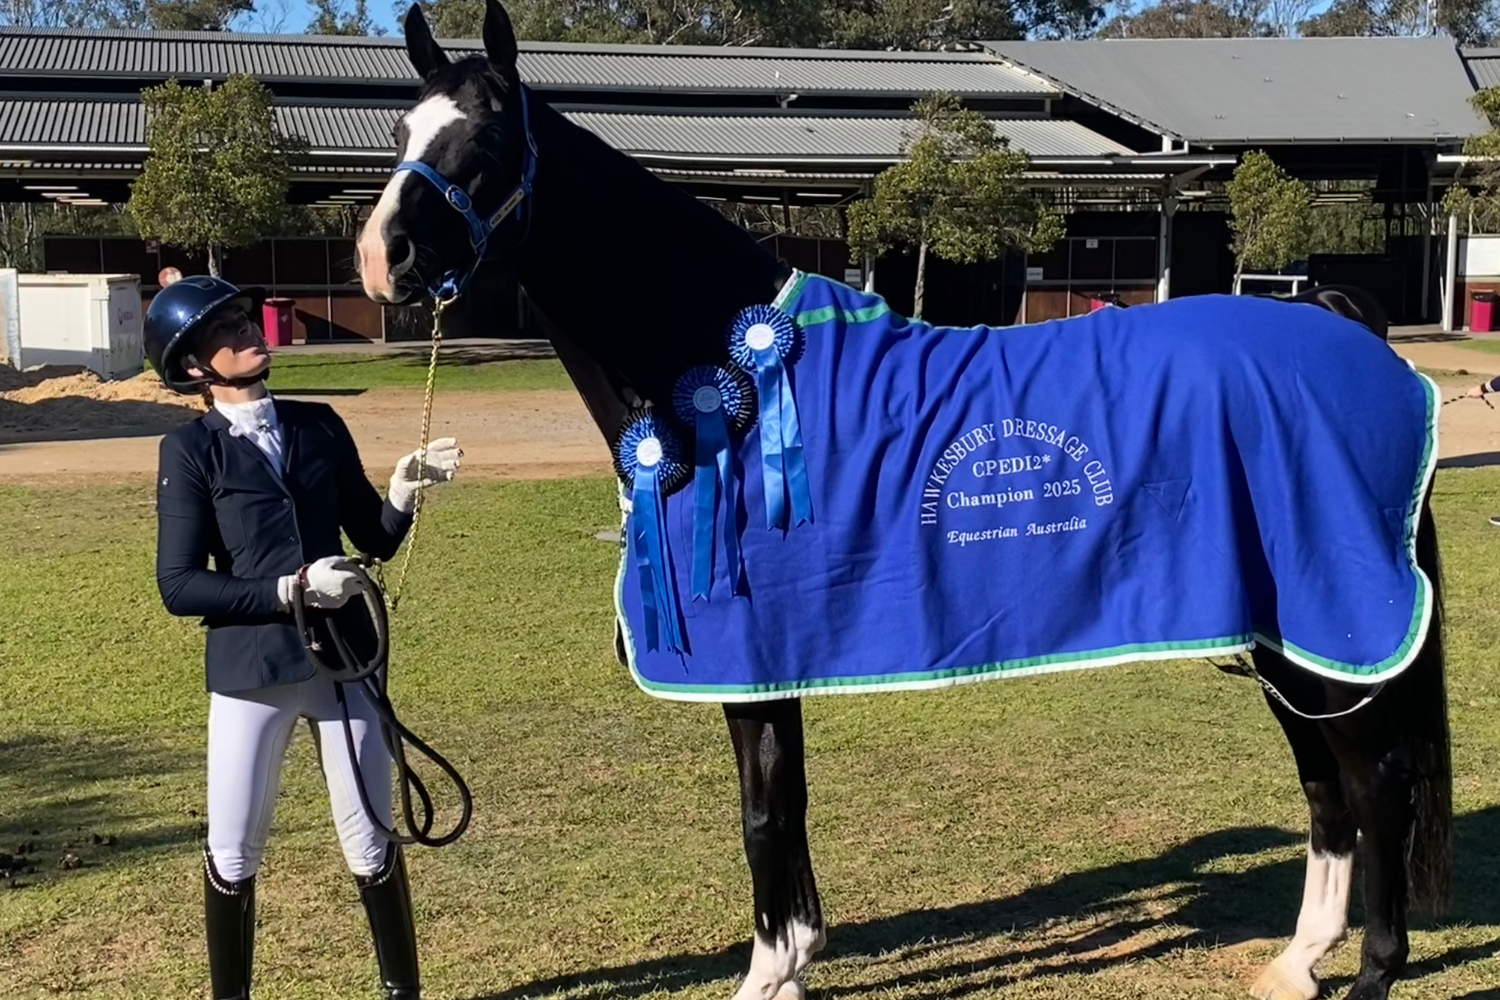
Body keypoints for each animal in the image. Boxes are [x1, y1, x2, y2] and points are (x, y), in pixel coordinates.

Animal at [354, 5, 1453, 999]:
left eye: (486, 140)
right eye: (402, 130)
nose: (382, 256)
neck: (727, 378)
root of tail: (1344, 324)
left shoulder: (756, 653)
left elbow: (763, 813)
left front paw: (772, 973)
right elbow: (781, 806)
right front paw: (794, 961)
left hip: (1322, 626)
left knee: (1377, 779)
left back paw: (1371, 970)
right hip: (1280, 639)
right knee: (1326, 784)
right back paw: (1298, 962)